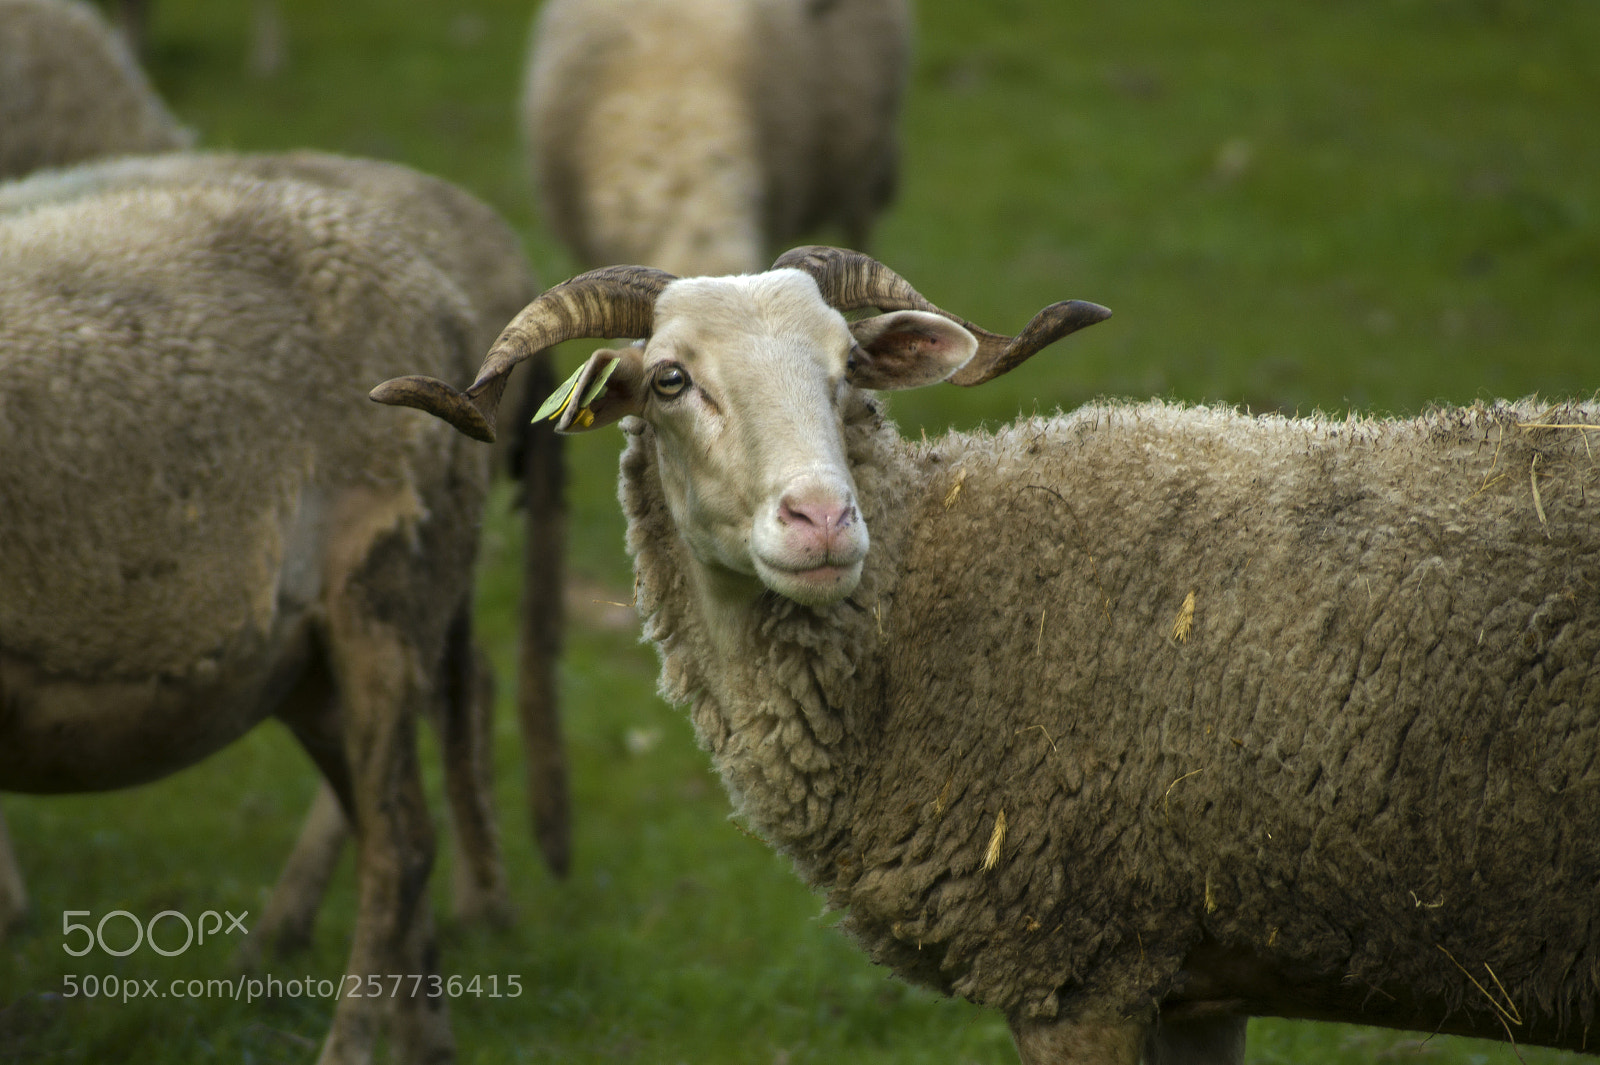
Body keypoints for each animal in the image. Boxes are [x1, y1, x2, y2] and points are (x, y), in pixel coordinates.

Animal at [0, 171, 520, 1064]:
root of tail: (443, 297)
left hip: (387, 598)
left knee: (401, 850)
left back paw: (344, 1045)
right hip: (306, 663)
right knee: (382, 834)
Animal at [374, 246, 1600, 1065]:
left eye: (847, 369)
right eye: (671, 381)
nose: (823, 522)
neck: (931, 592)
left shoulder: (1077, 963)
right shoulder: (1196, 976)